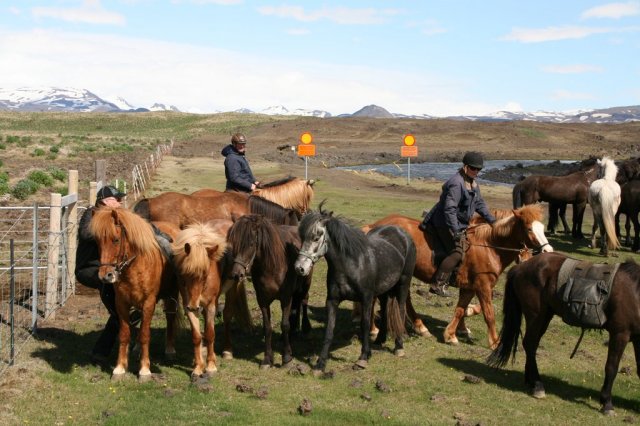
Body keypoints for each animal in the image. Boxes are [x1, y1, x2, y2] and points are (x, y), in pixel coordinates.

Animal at [90, 208, 180, 382]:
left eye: (116, 240)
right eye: (97, 241)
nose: (106, 276)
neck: (135, 266)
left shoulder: (149, 302)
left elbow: (145, 334)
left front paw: (144, 370)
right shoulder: (121, 304)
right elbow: (124, 334)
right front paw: (119, 368)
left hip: (171, 293)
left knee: (170, 316)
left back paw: (170, 349)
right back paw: (137, 349)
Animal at [228, 216, 312, 370]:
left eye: (251, 244)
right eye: (234, 244)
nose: (237, 274)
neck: (272, 267)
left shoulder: (285, 299)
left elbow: (284, 324)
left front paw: (286, 358)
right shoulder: (263, 300)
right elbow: (267, 327)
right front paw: (267, 359)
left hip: (305, 284)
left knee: (304, 300)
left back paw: (305, 328)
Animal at [294, 203, 418, 372]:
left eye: (316, 237)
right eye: (301, 237)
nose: (299, 268)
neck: (351, 264)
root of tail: (402, 233)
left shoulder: (366, 299)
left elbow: (365, 325)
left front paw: (363, 357)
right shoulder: (332, 300)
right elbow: (329, 330)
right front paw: (320, 363)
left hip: (403, 284)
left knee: (400, 310)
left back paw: (399, 346)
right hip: (384, 290)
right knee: (386, 309)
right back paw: (380, 340)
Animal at [362, 204, 552, 350]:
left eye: (542, 229)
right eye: (529, 229)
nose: (548, 251)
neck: (489, 246)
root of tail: (374, 226)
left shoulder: (469, 287)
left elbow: (460, 309)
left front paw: (451, 334)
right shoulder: (483, 286)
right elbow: (488, 313)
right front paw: (494, 342)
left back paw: (419, 327)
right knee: (375, 298)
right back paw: (373, 329)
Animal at [488, 253, 640, 416]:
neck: (636, 293)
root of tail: (520, 267)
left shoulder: (637, 339)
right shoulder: (620, 334)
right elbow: (611, 367)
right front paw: (607, 403)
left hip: (545, 316)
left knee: (531, 345)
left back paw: (531, 381)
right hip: (536, 315)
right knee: (530, 344)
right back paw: (537, 385)